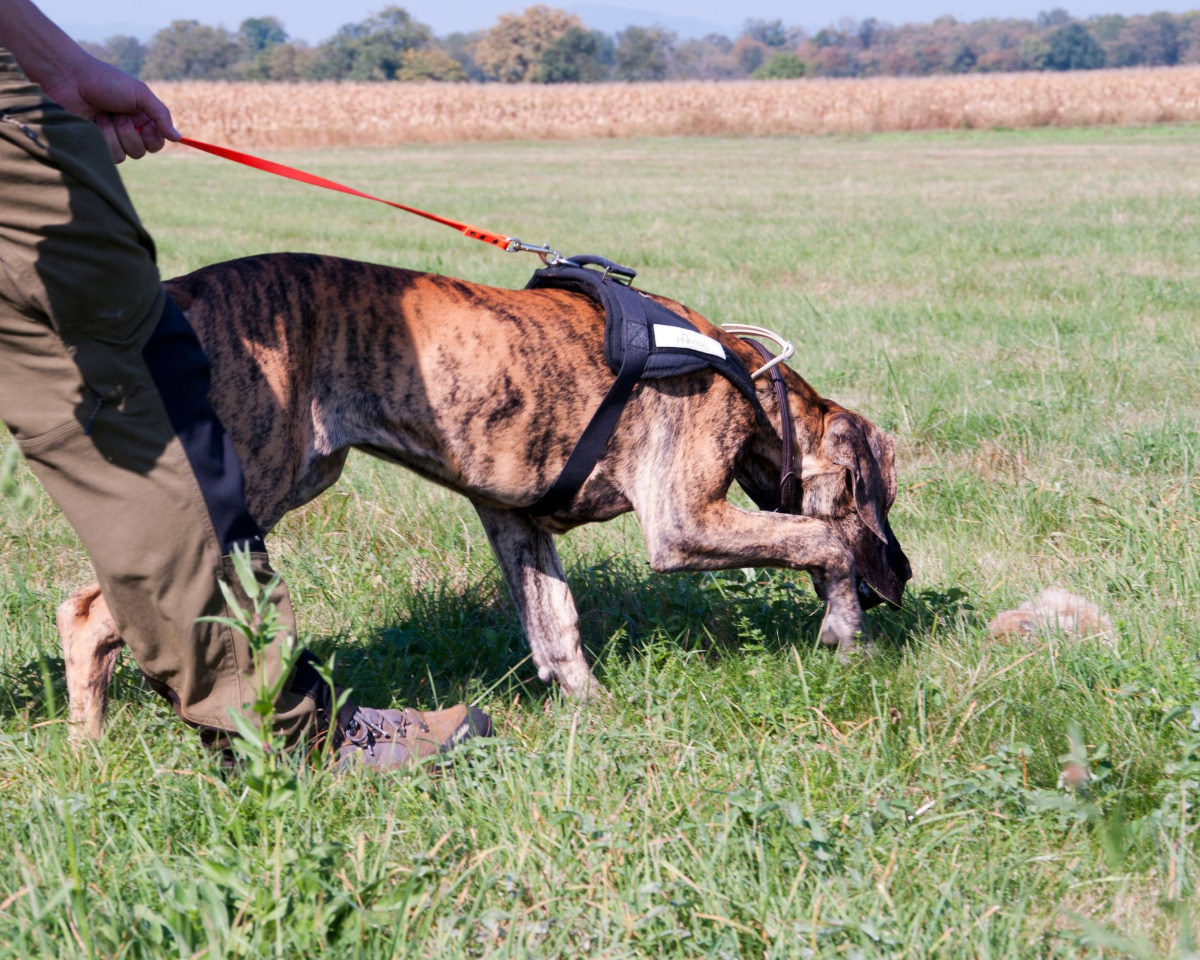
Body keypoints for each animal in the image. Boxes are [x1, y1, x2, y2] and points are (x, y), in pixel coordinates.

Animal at [58, 250, 907, 739]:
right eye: (885, 500)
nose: (904, 579)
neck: (754, 385)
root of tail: (173, 295)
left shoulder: (515, 521)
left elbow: (555, 624)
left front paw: (590, 710)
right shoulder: (685, 523)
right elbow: (823, 541)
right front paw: (846, 631)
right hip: (252, 482)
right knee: (92, 613)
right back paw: (92, 747)